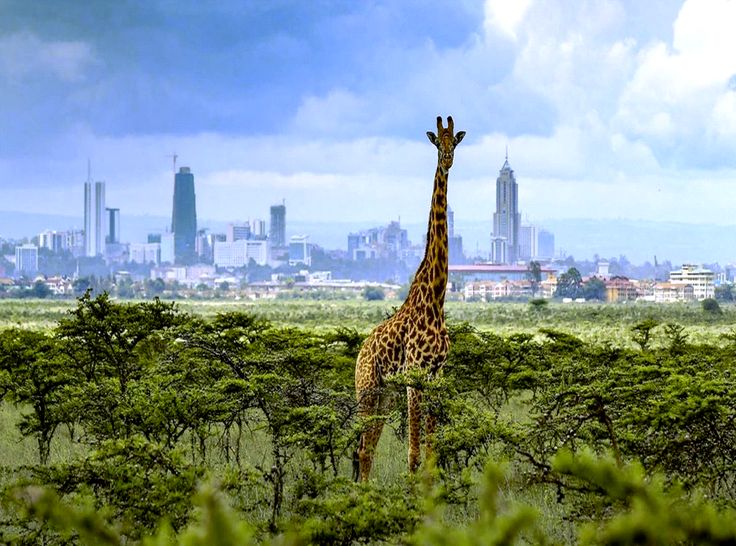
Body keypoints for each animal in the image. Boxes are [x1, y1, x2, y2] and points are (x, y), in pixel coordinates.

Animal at [352, 116, 466, 480]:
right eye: (437, 142)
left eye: (455, 141)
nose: (447, 159)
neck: (436, 298)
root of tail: (360, 352)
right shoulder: (414, 377)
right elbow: (413, 455)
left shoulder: (435, 376)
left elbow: (430, 451)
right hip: (368, 389)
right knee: (362, 448)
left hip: (385, 394)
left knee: (368, 448)